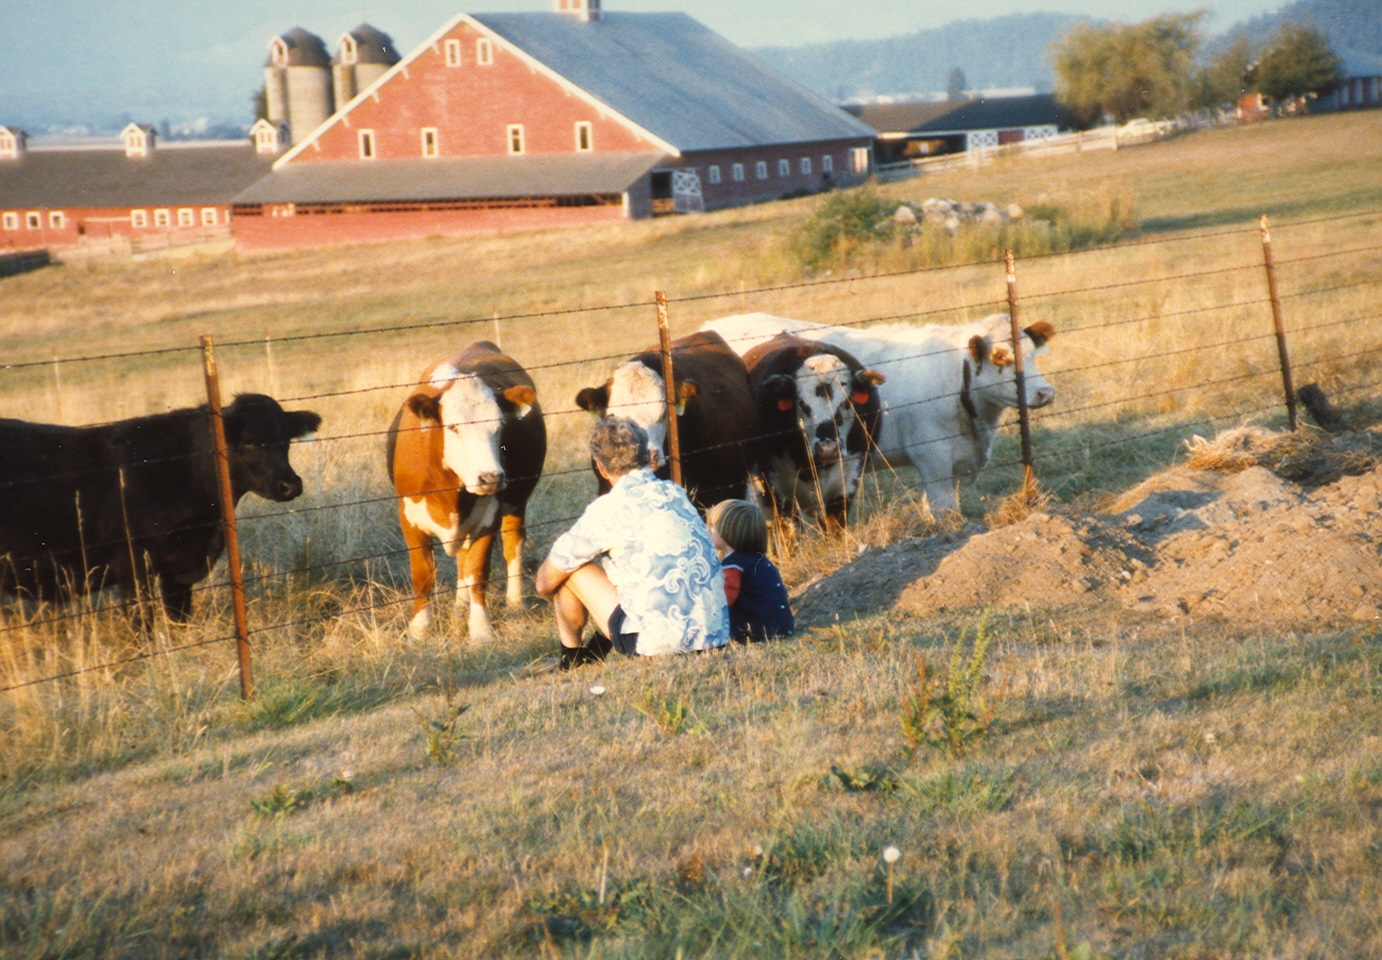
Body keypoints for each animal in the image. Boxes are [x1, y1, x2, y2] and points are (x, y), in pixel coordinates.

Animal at [0, 394, 321, 623]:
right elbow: (143, 623)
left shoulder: (178, 569)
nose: (291, 485)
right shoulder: (130, 564)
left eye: (287, 439)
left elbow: (178, 619)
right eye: (249, 442)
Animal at [387, 342, 545, 643]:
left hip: (516, 503)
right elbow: (423, 575)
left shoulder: (488, 518)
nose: (491, 477)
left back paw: (514, 603)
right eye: (452, 427)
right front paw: (419, 629)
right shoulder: (408, 518)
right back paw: (460, 607)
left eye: (500, 425)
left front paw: (481, 629)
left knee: (512, 545)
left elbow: (478, 573)